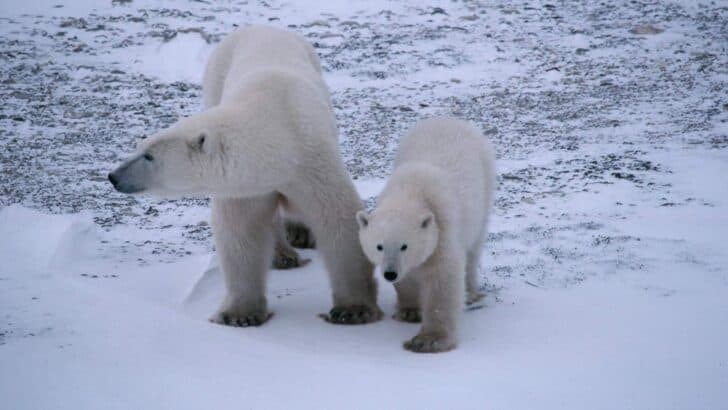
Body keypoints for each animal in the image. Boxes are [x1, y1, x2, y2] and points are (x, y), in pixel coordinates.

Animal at [108, 25, 381, 326]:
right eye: (139, 147)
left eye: (149, 156)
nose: (113, 176)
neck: (278, 130)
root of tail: (260, 27)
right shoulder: (246, 185)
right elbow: (242, 231)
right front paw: (239, 315)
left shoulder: (311, 159)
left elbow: (337, 218)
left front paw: (353, 310)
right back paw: (283, 254)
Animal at [356, 117, 496, 353]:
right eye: (379, 246)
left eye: (404, 246)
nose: (389, 273)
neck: (411, 191)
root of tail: (448, 119)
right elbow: (408, 278)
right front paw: (410, 311)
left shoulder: (442, 229)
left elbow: (443, 280)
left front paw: (429, 340)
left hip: (485, 182)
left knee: (474, 249)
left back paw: (471, 292)